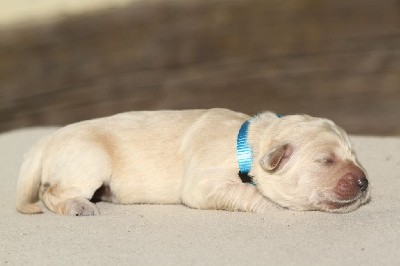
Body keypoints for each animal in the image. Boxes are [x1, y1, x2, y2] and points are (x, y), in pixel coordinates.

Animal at [16, 109, 372, 215]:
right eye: (325, 160)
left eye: (355, 157)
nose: (364, 182)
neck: (249, 144)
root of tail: (47, 139)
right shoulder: (204, 182)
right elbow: (245, 192)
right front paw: (271, 204)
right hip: (89, 160)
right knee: (50, 192)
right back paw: (78, 205)